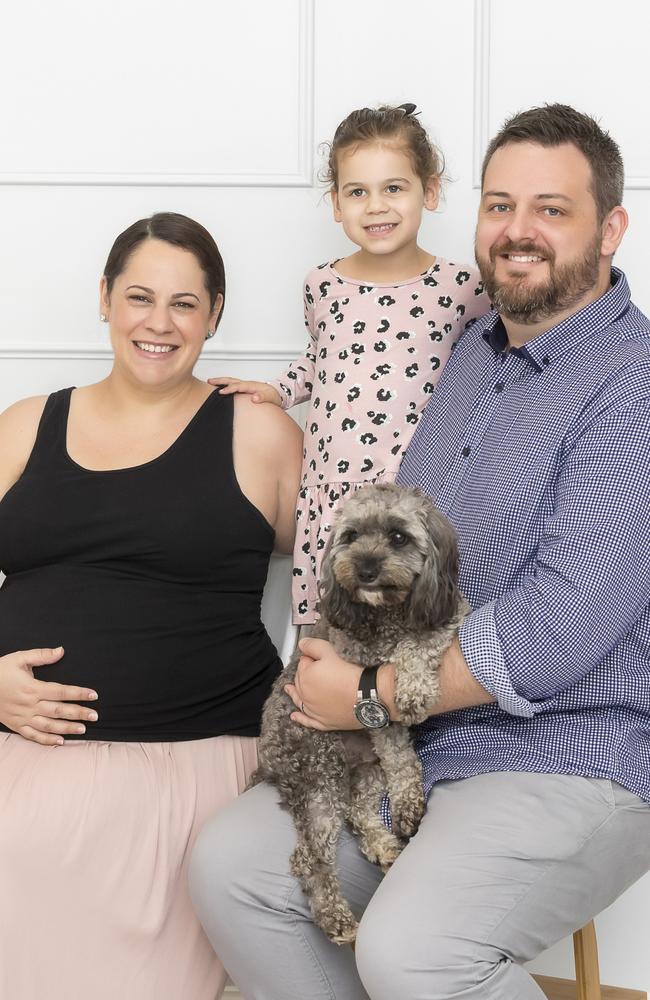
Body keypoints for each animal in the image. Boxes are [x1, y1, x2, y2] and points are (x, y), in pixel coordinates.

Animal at [249, 484, 466, 944]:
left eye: (398, 537)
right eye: (350, 537)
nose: (364, 569)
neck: (389, 613)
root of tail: (268, 763)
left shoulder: (448, 614)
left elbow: (421, 642)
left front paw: (413, 684)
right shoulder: (370, 699)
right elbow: (397, 742)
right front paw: (411, 688)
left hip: (365, 770)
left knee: (357, 811)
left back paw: (384, 843)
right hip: (321, 771)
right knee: (310, 856)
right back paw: (335, 917)